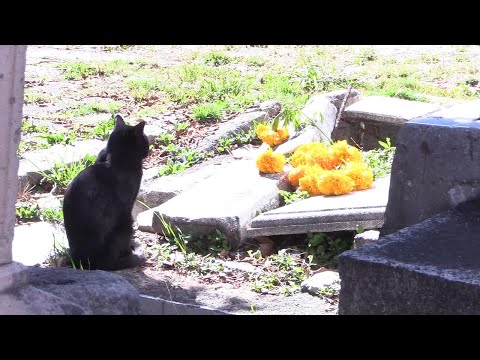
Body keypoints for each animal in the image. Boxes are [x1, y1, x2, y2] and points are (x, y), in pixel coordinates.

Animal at [62, 115, 148, 270]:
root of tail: (89, 263)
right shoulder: (129, 205)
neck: (116, 160)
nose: (149, 149)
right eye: (146, 140)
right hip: (125, 223)